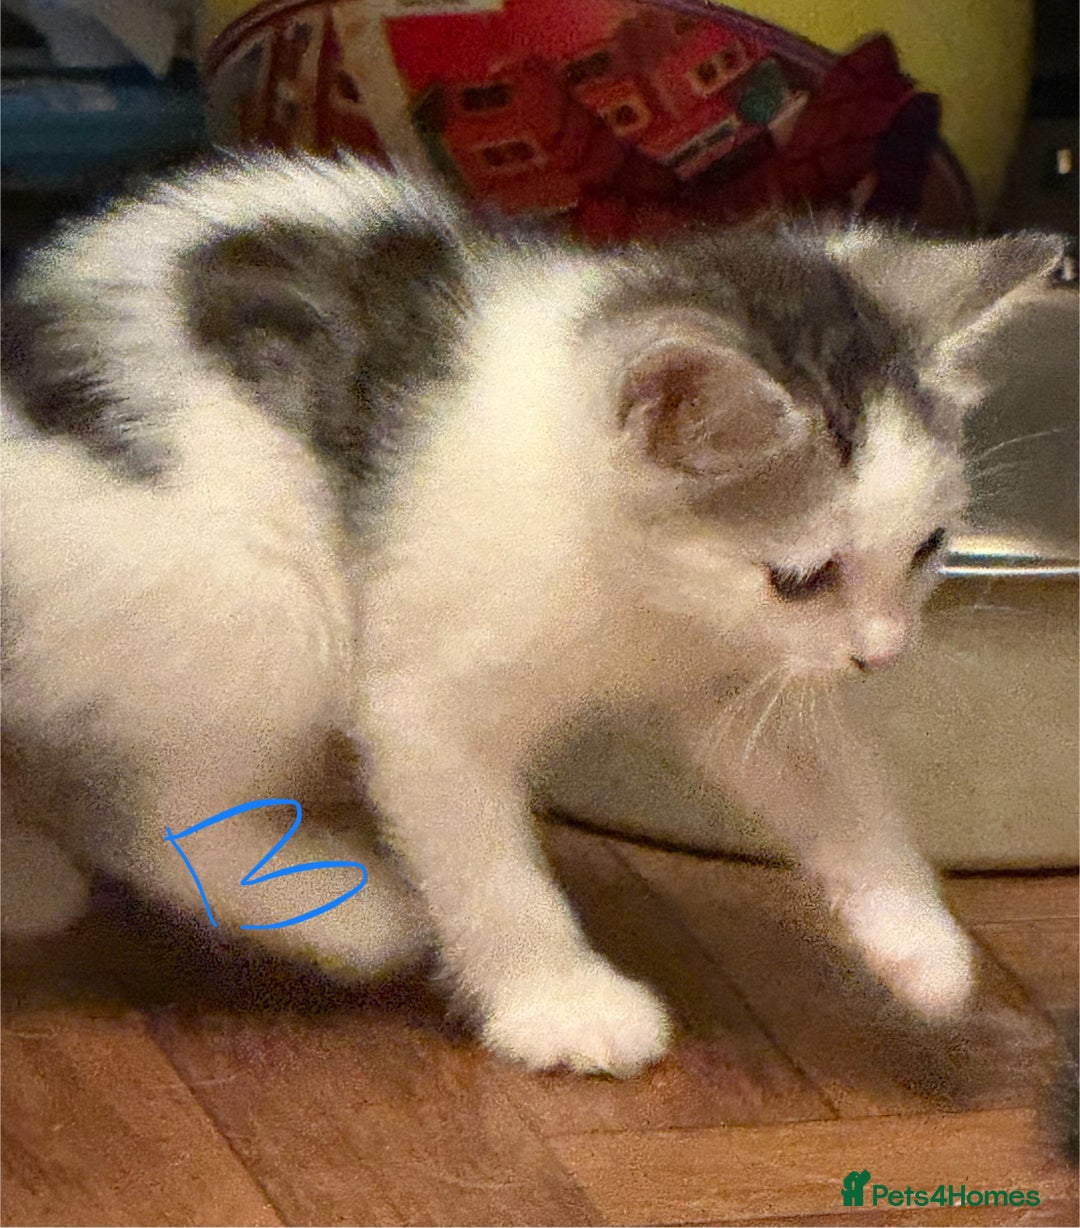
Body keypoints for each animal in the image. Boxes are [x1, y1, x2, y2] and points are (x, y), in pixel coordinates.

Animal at [0, 152, 1064, 1075]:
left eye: (927, 549)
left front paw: (919, 943)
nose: (882, 653)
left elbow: (839, 787)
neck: (635, 588)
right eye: (802, 578)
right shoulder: (423, 703)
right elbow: (487, 868)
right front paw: (559, 1002)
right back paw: (349, 913)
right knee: (145, 817)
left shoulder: (732, 667)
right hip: (262, 602)